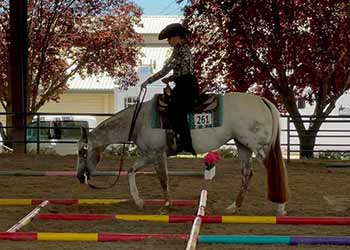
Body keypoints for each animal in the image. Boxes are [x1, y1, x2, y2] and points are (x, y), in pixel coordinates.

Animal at [77, 92, 290, 215]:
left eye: (82, 151)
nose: (79, 177)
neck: (140, 121)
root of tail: (262, 100)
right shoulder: (148, 155)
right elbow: (130, 171)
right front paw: (139, 202)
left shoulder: (157, 154)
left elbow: (163, 179)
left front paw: (166, 206)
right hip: (242, 145)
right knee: (247, 174)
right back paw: (233, 207)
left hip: (256, 145)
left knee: (274, 171)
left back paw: (280, 207)